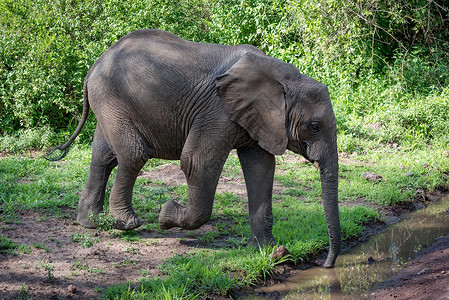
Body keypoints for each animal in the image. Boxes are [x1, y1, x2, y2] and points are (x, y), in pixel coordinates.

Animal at [48, 28, 340, 268]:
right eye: (314, 126)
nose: (326, 265)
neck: (285, 77)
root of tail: (94, 66)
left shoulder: (257, 119)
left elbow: (262, 168)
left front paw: (266, 251)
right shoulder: (217, 112)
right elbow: (197, 163)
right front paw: (166, 214)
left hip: (109, 102)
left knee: (103, 157)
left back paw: (89, 222)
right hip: (113, 99)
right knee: (133, 154)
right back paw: (127, 223)